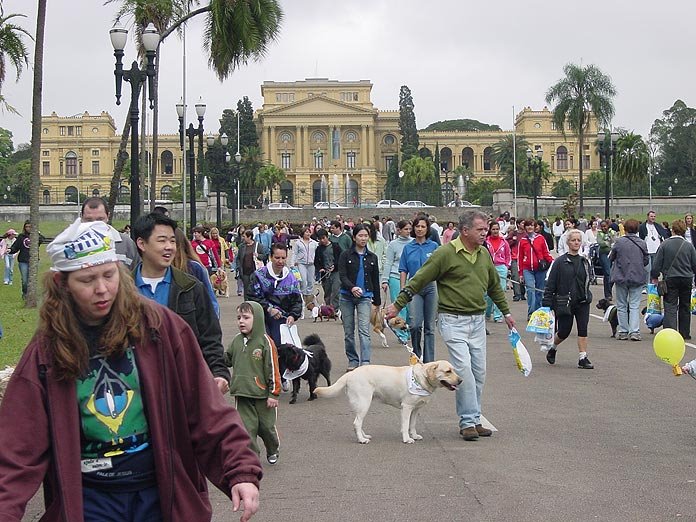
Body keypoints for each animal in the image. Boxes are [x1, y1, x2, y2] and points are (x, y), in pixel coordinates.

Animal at [316, 362, 462, 442]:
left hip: (361, 405)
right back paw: (362, 440)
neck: (421, 379)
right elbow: (405, 425)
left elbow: (412, 424)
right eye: (448, 371)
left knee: (357, 423)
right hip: (364, 403)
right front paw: (407, 439)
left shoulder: (415, 409)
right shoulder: (407, 407)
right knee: (356, 423)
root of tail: (350, 373)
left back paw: (364, 436)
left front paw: (414, 436)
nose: (461, 380)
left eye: (454, 370)